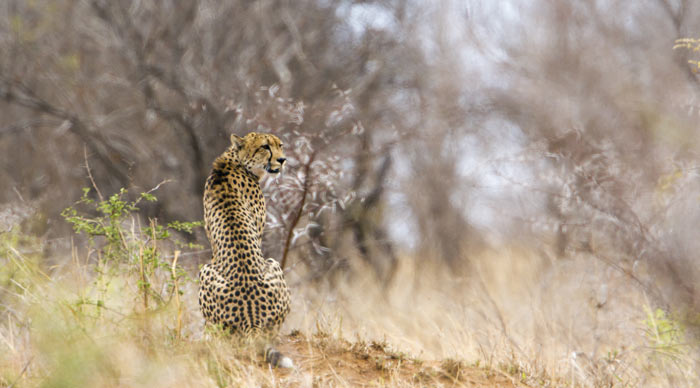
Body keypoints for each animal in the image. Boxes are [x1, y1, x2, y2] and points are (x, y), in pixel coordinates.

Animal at [200, 132, 292, 366]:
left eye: (280, 145)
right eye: (265, 147)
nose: (282, 160)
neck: (236, 160)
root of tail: (251, 316)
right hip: (270, 263)